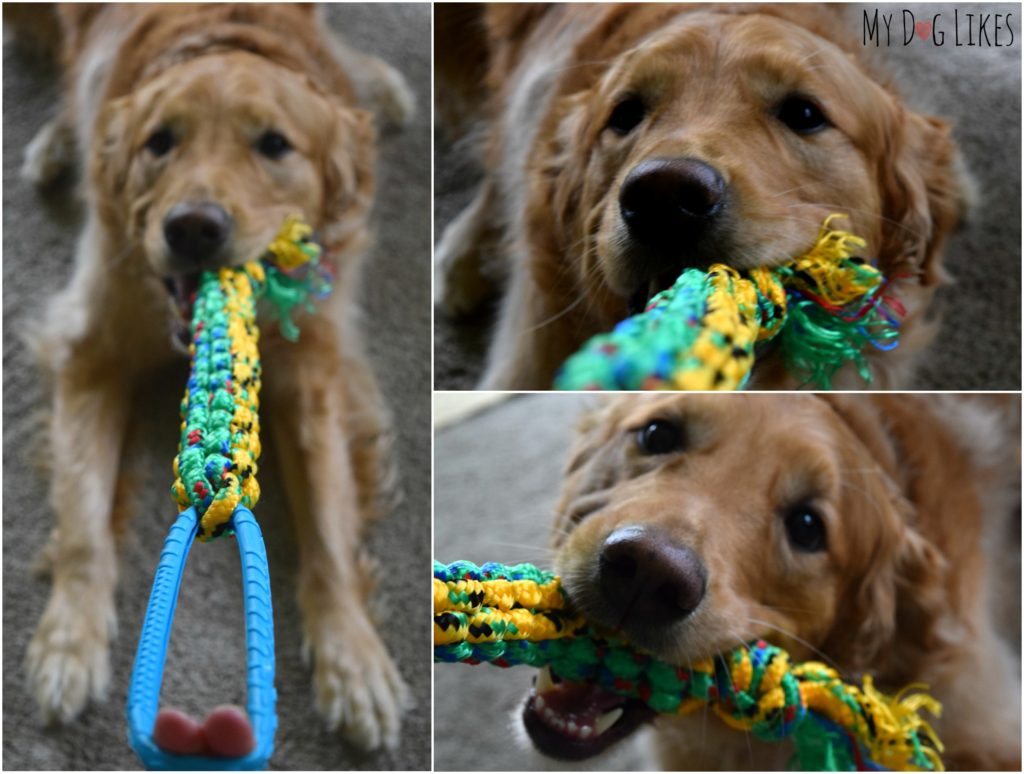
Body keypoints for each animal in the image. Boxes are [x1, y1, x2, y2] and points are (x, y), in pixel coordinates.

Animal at [19, 0, 413, 749]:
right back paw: (57, 143)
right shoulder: (91, 345)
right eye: (160, 142)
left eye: (275, 145)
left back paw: (385, 87)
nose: (193, 228)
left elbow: (328, 528)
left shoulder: (314, 369)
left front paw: (353, 657)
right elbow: (83, 516)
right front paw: (67, 644)